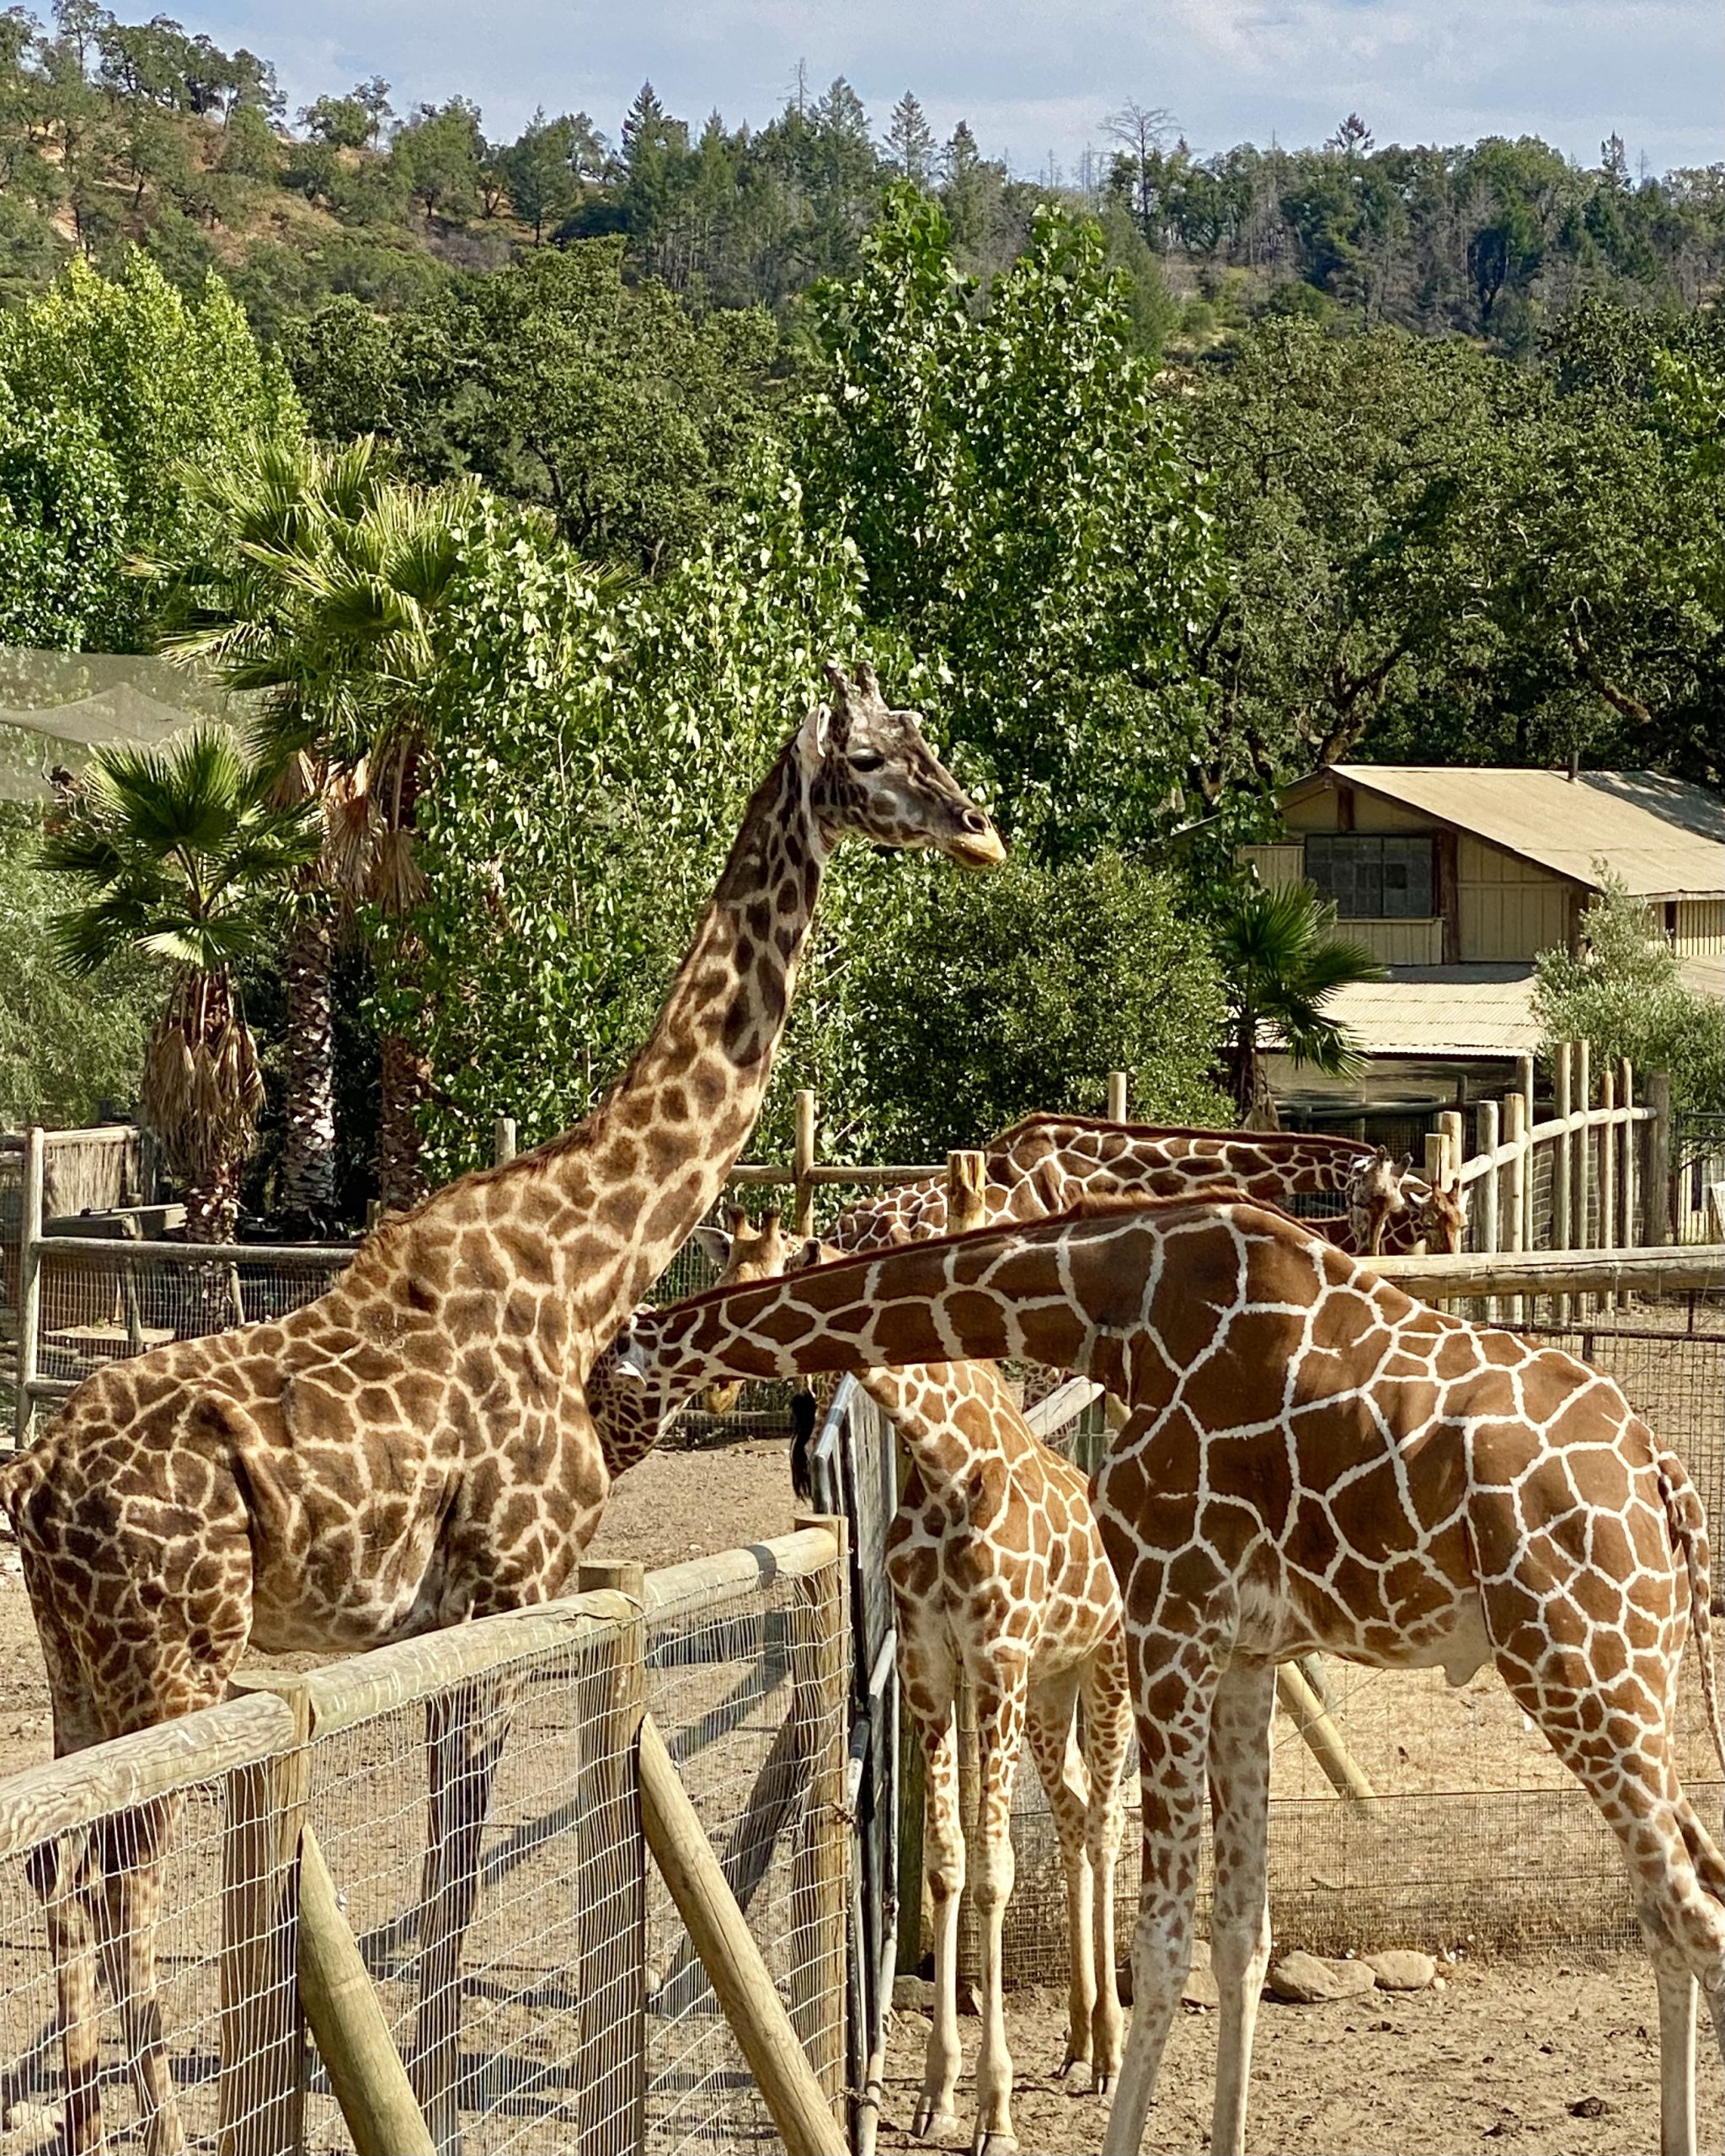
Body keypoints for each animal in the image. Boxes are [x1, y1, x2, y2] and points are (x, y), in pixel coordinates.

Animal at [0, 659, 1004, 2156]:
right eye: (879, 758)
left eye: (928, 739)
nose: (981, 831)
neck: (587, 1265)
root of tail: (32, 1481)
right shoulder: (511, 1584)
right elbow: (458, 1880)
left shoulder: (452, 1614)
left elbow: (456, 1873)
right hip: (168, 1655)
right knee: (119, 1890)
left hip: (80, 1663)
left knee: (63, 1872)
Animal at [595, 1198, 1725, 2156]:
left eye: (607, 1377)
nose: (599, 1464)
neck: (1104, 1308)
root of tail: (1664, 1477)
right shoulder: (1245, 1652)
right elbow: (1240, 1935)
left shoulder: (1164, 1616)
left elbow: (1166, 1936)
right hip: (1632, 1675)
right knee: (1669, 1906)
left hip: (1576, 1661)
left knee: (1696, 1914)